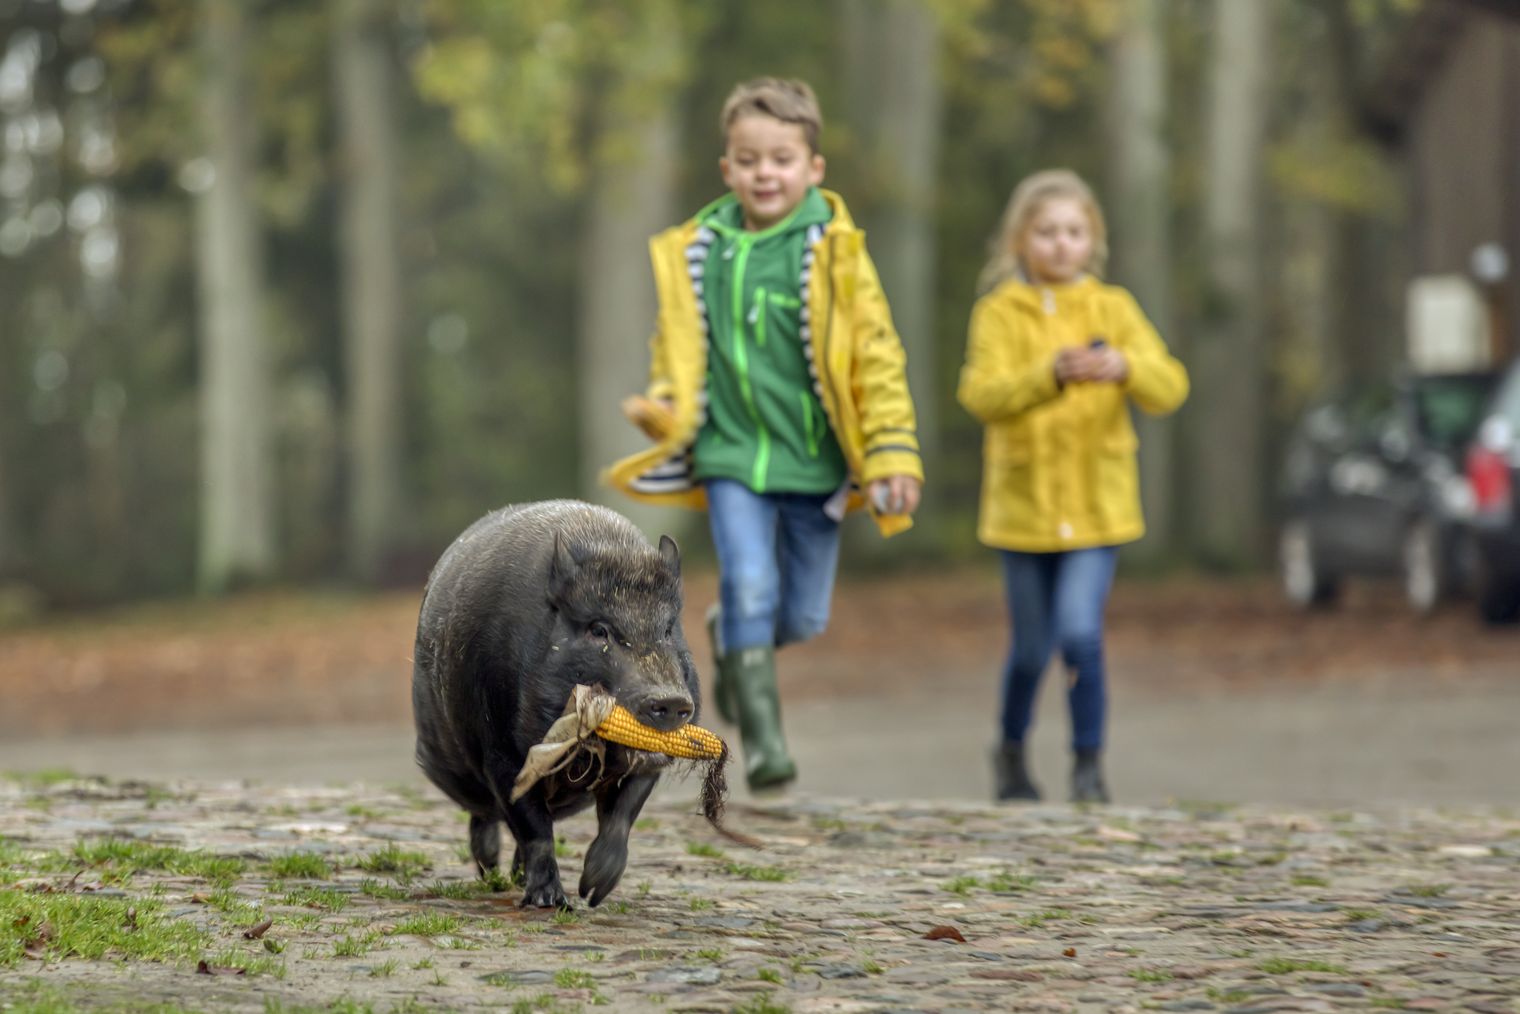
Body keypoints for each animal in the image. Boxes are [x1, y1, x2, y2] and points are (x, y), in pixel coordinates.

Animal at [411, 499, 700, 908]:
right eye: (599, 630)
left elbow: (621, 816)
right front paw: (551, 902)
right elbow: (534, 827)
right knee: (486, 814)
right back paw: (492, 874)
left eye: (667, 629)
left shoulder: (646, 766)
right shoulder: (501, 752)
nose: (671, 700)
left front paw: (593, 892)